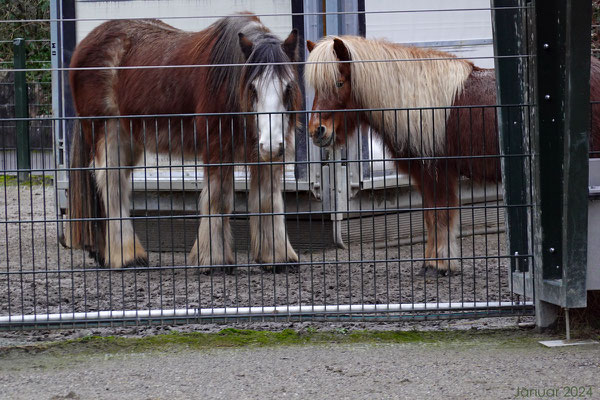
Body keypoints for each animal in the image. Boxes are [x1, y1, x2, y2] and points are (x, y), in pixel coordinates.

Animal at [65, 16, 302, 272]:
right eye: (252, 88)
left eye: (288, 87)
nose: (271, 145)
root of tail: (84, 44)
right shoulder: (217, 150)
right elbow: (219, 201)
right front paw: (214, 260)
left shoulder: (264, 158)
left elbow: (268, 201)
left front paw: (277, 257)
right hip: (108, 131)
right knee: (112, 186)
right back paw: (128, 256)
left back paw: (105, 254)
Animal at [304, 36, 600, 276]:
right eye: (316, 87)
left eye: (339, 82)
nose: (317, 131)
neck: (417, 104)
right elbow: (430, 217)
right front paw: (433, 262)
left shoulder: (437, 173)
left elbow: (439, 216)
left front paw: (440, 264)